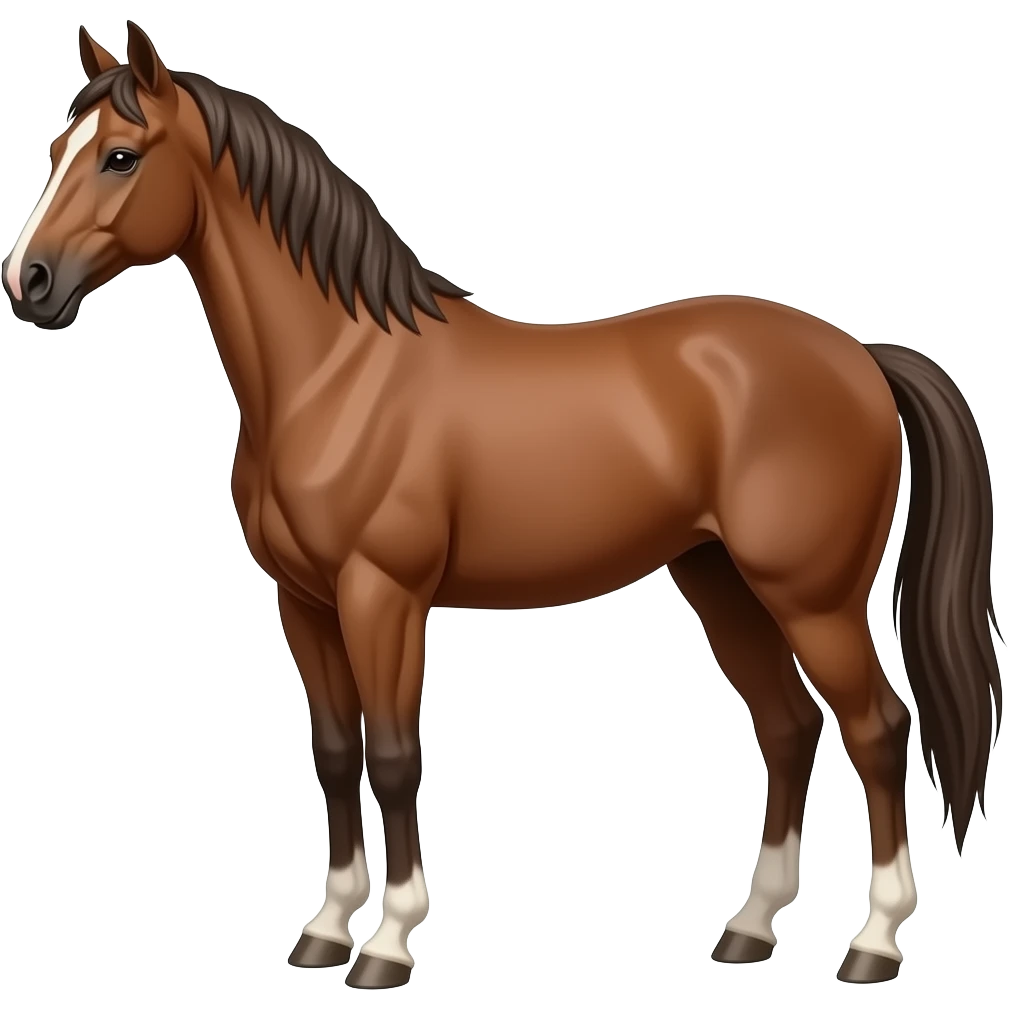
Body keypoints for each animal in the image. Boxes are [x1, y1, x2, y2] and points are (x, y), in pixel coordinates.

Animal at [2, 22, 1002, 990]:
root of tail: (861, 356)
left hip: (811, 598)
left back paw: (874, 941)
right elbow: (335, 753)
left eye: (121, 155)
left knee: (877, 729)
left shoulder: (382, 595)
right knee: (788, 727)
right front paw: (324, 928)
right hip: (719, 579)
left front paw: (387, 944)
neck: (337, 371)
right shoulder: (304, 602)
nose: (30, 281)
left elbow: (393, 755)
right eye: (55, 149)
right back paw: (748, 929)